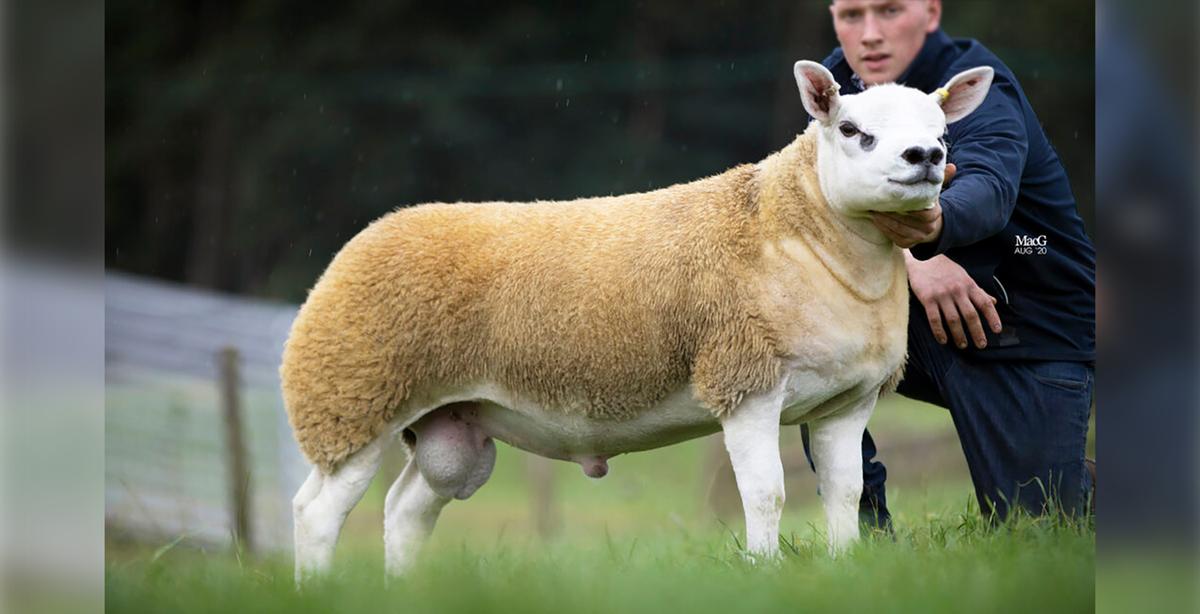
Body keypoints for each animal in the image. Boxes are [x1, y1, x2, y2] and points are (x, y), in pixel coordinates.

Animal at [281, 60, 994, 582]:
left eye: (943, 129)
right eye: (850, 129)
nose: (924, 156)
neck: (803, 232)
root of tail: (369, 235)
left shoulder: (847, 402)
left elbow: (846, 494)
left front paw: (844, 568)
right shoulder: (745, 382)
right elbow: (766, 494)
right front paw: (763, 572)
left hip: (449, 426)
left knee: (405, 510)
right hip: (351, 398)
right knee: (316, 512)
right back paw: (316, 589)